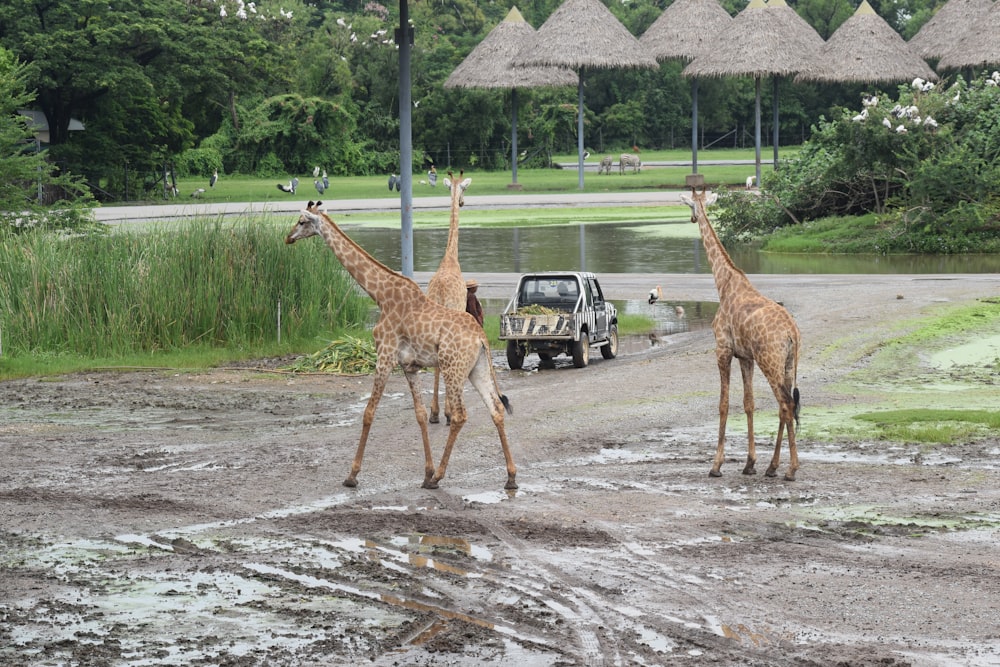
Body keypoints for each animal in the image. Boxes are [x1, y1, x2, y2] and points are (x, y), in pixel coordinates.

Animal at [282, 201, 516, 488]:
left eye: (302, 221)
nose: (288, 238)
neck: (380, 295)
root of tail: (481, 337)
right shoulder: (409, 366)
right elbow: (419, 414)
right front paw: (425, 472)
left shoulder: (384, 355)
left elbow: (369, 412)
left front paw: (352, 475)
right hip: (477, 368)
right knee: (496, 409)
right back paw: (510, 477)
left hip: (453, 368)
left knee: (461, 415)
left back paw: (439, 477)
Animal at [676, 188, 800, 480]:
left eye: (690, 204)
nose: (691, 218)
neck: (723, 283)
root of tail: (792, 333)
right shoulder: (745, 357)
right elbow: (748, 403)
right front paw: (750, 463)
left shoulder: (722, 350)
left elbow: (723, 403)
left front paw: (716, 465)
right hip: (788, 364)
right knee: (786, 406)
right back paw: (772, 467)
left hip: (770, 361)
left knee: (786, 405)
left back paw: (790, 469)